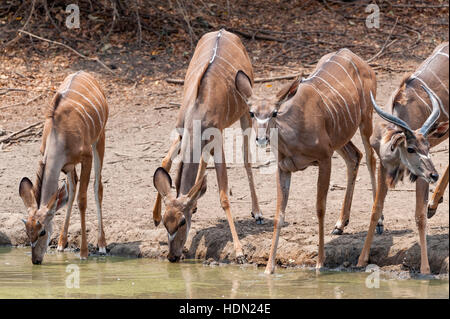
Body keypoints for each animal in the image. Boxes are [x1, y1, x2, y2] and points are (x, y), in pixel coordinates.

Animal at [18, 72, 108, 264]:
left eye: (42, 231)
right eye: (27, 232)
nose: (36, 260)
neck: (59, 136)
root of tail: (84, 72)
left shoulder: (86, 157)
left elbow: (82, 199)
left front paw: (84, 253)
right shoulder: (64, 165)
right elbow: (70, 193)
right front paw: (61, 244)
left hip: (100, 138)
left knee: (98, 187)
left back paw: (102, 244)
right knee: (72, 189)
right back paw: (61, 242)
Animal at [152, 29, 262, 264]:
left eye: (182, 222)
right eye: (166, 221)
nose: (172, 256)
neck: (197, 112)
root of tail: (223, 31)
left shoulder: (217, 139)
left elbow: (223, 196)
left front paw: (240, 252)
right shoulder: (181, 131)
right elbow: (165, 163)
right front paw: (155, 216)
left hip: (244, 115)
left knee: (247, 158)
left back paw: (257, 213)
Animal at [244, 48, 378, 274]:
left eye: (274, 112)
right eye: (252, 113)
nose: (261, 139)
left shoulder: (324, 158)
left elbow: (320, 209)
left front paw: (319, 263)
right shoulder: (284, 168)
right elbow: (279, 214)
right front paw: (269, 268)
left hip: (366, 118)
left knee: (370, 158)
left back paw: (380, 223)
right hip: (340, 137)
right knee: (354, 156)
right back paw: (340, 224)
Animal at [356, 43, 448, 276]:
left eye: (427, 147)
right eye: (411, 148)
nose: (434, 174)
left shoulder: (420, 176)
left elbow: (419, 216)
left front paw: (425, 269)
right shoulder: (383, 166)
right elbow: (375, 209)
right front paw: (361, 260)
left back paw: (433, 204)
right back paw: (435, 203)